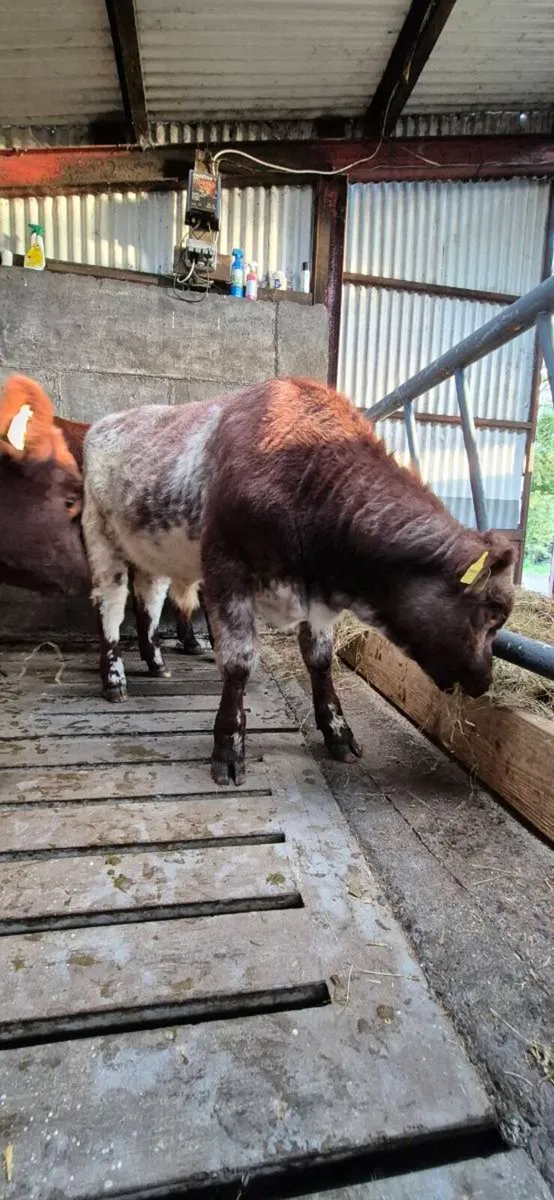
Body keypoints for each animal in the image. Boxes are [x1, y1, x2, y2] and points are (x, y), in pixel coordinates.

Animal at [82, 377, 515, 786]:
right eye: (492, 612)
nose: (484, 681)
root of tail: (104, 423)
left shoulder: (318, 598)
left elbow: (320, 659)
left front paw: (338, 732)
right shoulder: (226, 569)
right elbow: (238, 662)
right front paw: (228, 749)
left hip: (150, 550)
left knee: (148, 601)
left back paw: (155, 662)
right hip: (100, 536)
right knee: (111, 605)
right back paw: (114, 679)